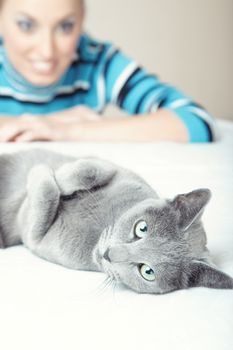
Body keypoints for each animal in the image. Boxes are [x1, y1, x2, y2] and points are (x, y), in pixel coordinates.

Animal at [0, 149, 232, 294]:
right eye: (142, 227)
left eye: (147, 271)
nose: (108, 254)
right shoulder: (118, 169)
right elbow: (89, 168)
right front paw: (56, 174)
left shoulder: (35, 237)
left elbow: (46, 196)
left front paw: (41, 172)